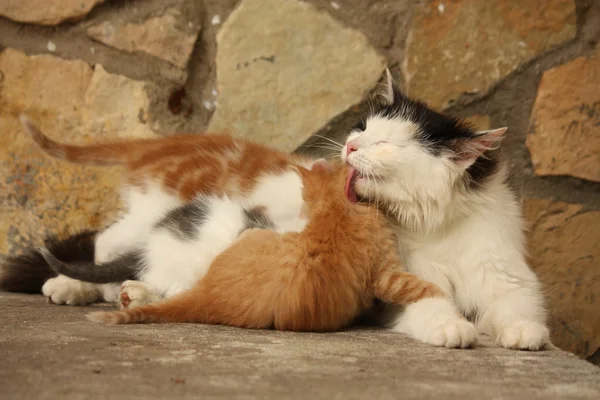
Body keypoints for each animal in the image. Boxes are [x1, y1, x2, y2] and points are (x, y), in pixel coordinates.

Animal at [1, 72, 548, 350]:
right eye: (363, 127)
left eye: (386, 143)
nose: (350, 146)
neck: (434, 225)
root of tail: (160, 146)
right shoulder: (387, 279)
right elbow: (428, 300)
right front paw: (452, 325)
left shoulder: (505, 269)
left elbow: (518, 303)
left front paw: (523, 332)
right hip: (166, 213)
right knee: (107, 244)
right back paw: (74, 285)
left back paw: (129, 291)